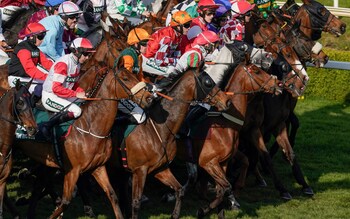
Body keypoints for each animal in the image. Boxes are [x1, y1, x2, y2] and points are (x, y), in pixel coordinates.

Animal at [112, 67, 231, 219]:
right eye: (208, 82)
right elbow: (136, 203)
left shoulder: (160, 168)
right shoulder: (139, 171)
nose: (227, 101)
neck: (159, 128)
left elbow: (180, 190)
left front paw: (176, 213)